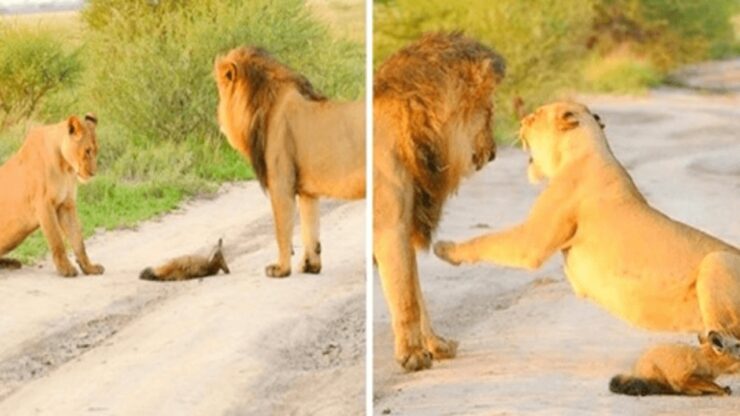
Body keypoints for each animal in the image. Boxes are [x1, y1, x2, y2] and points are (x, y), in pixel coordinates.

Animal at [0, 114, 104, 278]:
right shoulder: (44, 204)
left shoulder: (66, 205)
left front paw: (89, 268)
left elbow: (78, 241)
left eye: (96, 151)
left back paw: (12, 263)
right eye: (87, 151)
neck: (65, 167)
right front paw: (65, 269)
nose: (93, 173)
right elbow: (57, 240)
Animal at [214, 47, 364, 278]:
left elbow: (282, 229)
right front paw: (310, 266)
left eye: (220, 88)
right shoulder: (307, 191)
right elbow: (310, 227)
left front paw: (280, 269)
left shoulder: (281, 182)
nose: (217, 114)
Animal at [372, 31, 506, 370]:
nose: (493, 152)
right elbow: (406, 297)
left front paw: (436, 345)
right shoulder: (390, 228)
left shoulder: (405, 225)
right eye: (489, 110)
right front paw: (413, 356)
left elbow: (417, 294)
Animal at [434, 102, 740, 350]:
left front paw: (445, 249)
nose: (521, 122)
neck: (587, 148)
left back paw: (718, 343)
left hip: (717, 261)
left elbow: (486, 240)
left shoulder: (532, 241)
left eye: (535, 116)